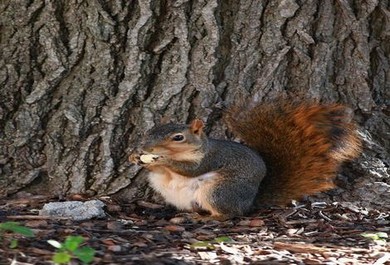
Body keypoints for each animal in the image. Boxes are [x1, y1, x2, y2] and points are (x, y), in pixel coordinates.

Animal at [129, 100, 362, 219]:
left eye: (178, 137)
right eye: (151, 130)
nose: (145, 147)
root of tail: (250, 202)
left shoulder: (211, 158)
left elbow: (190, 169)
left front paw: (161, 160)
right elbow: (159, 172)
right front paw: (135, 157)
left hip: (219, 191)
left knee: (229, 214)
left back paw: (207, 217)